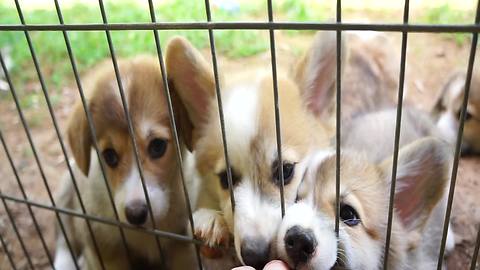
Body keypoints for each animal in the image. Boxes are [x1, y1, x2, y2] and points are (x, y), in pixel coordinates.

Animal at [55, 55, 198, 270]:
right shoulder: (105, 247)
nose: (135, 214)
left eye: (157, 146)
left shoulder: (181, 245)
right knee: (64, 239)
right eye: (109, 156)